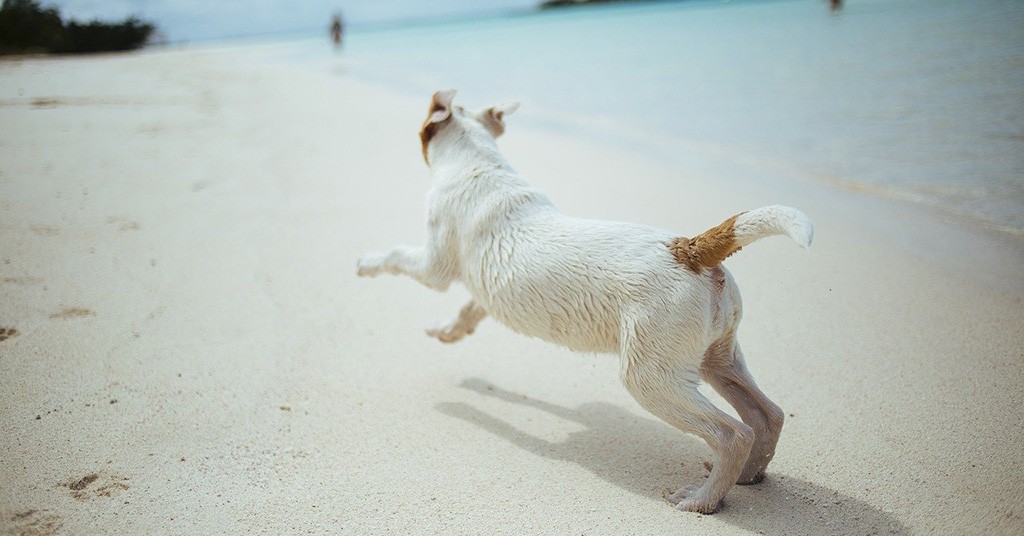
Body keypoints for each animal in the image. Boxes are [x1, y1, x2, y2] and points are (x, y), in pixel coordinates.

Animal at [356, 90, 811, 514]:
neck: (478, 163)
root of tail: (689, 249)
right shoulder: (486, 288)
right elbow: (471, 308)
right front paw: (449, 331)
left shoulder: (434, 265)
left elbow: (397, 256)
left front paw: (365, 263)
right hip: (716, 358)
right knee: (767, 415)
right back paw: (749, 476)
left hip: (652, 377)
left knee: (732, 433)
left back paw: (703, 499)